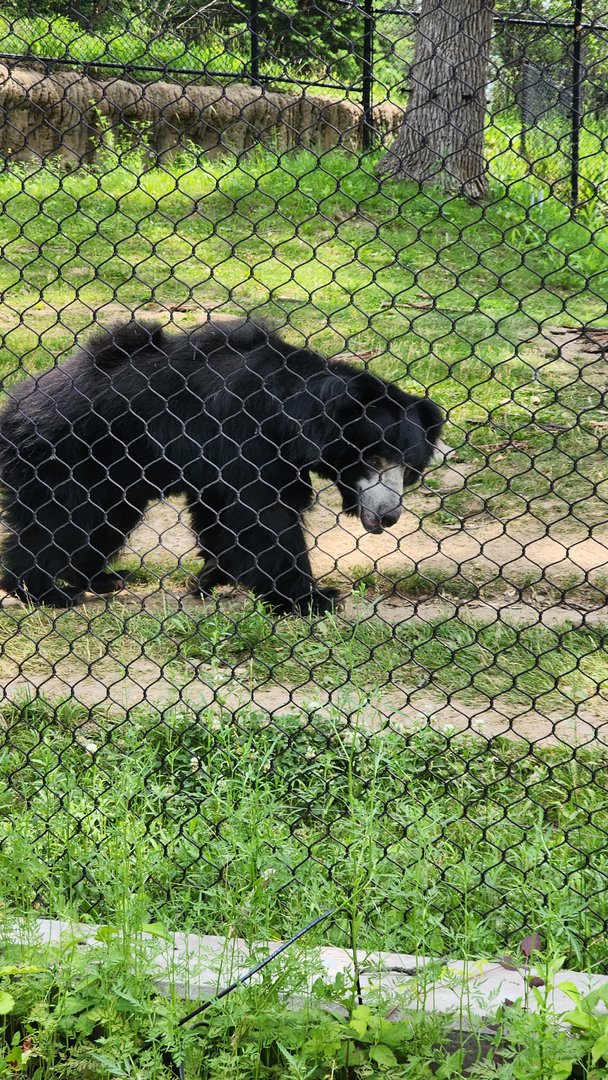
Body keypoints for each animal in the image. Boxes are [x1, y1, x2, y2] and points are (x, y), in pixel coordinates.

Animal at [0, 318, 443, 612]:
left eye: (408, 468)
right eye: (375, 457)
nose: (389, 516)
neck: (293, 417)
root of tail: (17, 403)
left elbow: (220, 513)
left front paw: (212, 576)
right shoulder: (242, 434)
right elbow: (264, 514)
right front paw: (312, 599)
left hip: (115, 471)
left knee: (107, 521)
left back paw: (102, 578)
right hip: (67, 455)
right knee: (60, 522)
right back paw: (46, 591)